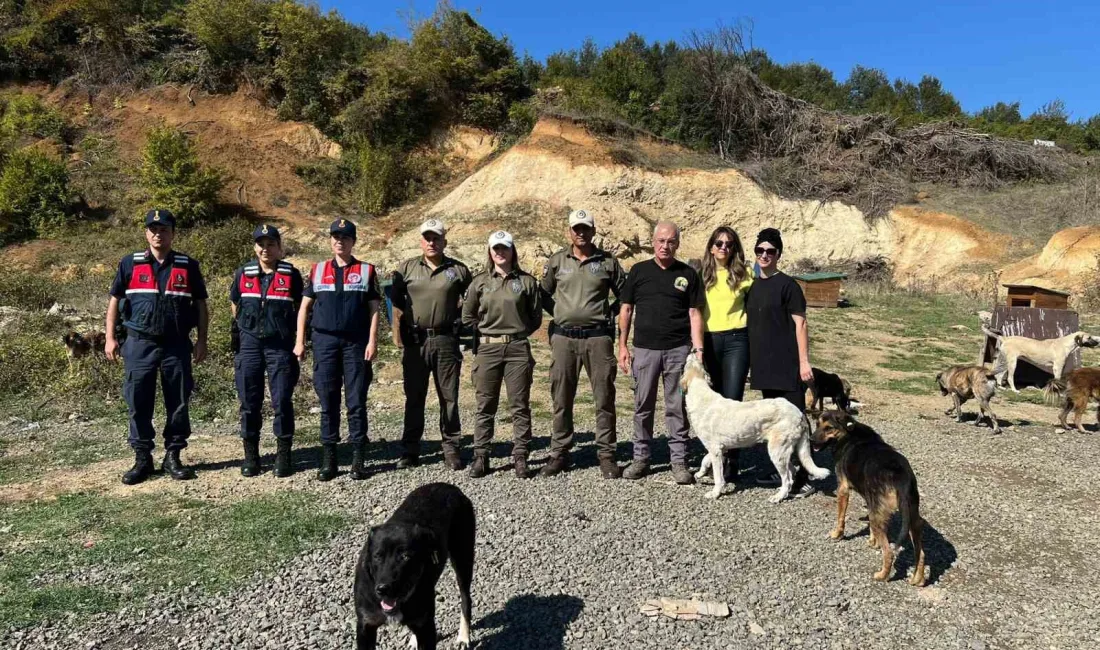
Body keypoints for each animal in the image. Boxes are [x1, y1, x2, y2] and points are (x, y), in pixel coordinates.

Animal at [352, 483, 473, 650]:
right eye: (377, 556)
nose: (383, 589)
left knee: (466, 599)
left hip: (463, 557)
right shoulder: (366, 625)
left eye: (405, 557)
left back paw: (463, 637)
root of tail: (451, 487)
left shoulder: (426, 627)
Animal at [814, 411, 924, 589]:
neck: (848, 434)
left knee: (889, 552)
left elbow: (840, 518)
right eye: (817, 425)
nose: (811, 440)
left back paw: (882, 575)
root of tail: (901, 476)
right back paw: (918, 580)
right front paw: (873, 541)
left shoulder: (843, 489)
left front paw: (837, 534)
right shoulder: (871, 500)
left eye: (829, 428)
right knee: (920, 553)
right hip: (912, 518)